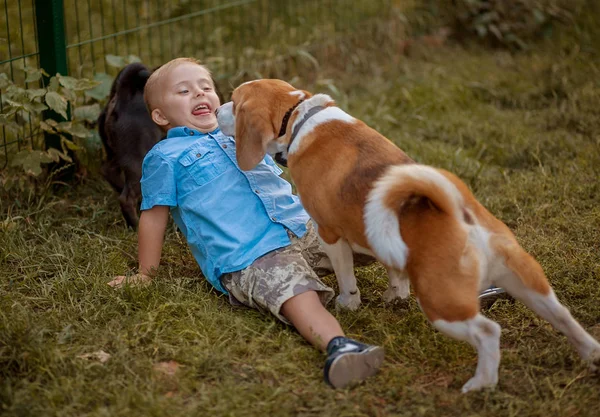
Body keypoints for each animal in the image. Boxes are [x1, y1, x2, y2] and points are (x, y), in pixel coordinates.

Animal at [216, 79, 600, 394]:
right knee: (564, 317)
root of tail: (462, 216)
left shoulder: (331, 232)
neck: (299, 118)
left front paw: (349, 303)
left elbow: (346, 278)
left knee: (488, 332)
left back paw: (481, 383)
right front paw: (395, 295)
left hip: (442, 304)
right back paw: (589, 353)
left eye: (234, 102)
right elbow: (394, 271)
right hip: (529, 284)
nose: (217, 109)